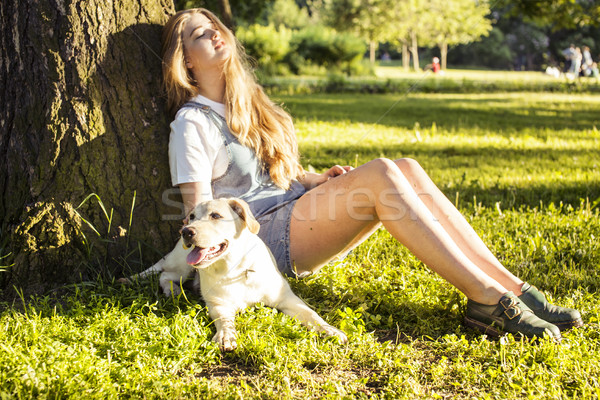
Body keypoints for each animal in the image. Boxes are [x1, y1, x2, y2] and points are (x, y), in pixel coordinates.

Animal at [120, 197, 346, 350]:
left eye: (215, 216)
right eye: (192, 216)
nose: (186, 231)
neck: (235, 268)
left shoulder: (287, 298)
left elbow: (311, 314)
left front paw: (329, 329)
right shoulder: (219, 304)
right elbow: (225, 320)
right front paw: (226, 335)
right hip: (182, 266)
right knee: (164, 275)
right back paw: (172, 291)